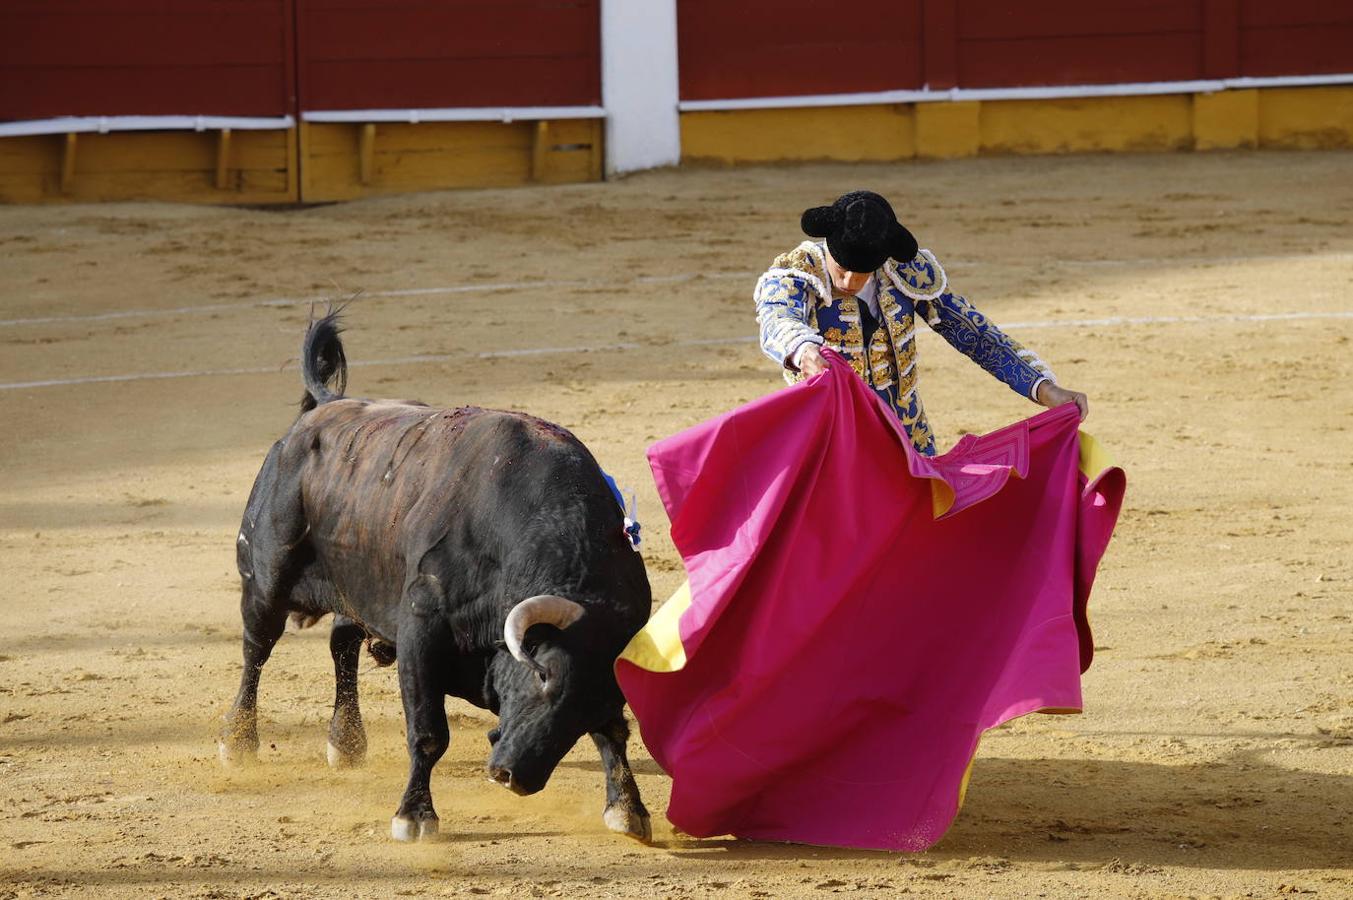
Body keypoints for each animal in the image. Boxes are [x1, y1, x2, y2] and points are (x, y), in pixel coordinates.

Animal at [221, 312, 654, 839]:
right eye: (543, 674)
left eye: (594, 698)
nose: (513, 776)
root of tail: (324, 406)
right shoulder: (421, 633)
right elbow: (429, 732)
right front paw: (414, 816)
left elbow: (614, 733)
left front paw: (628, 809)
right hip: (266, 577)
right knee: (257, 648)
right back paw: (238, 742)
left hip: (362, 586)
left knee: (342, 643)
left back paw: (345, 743)